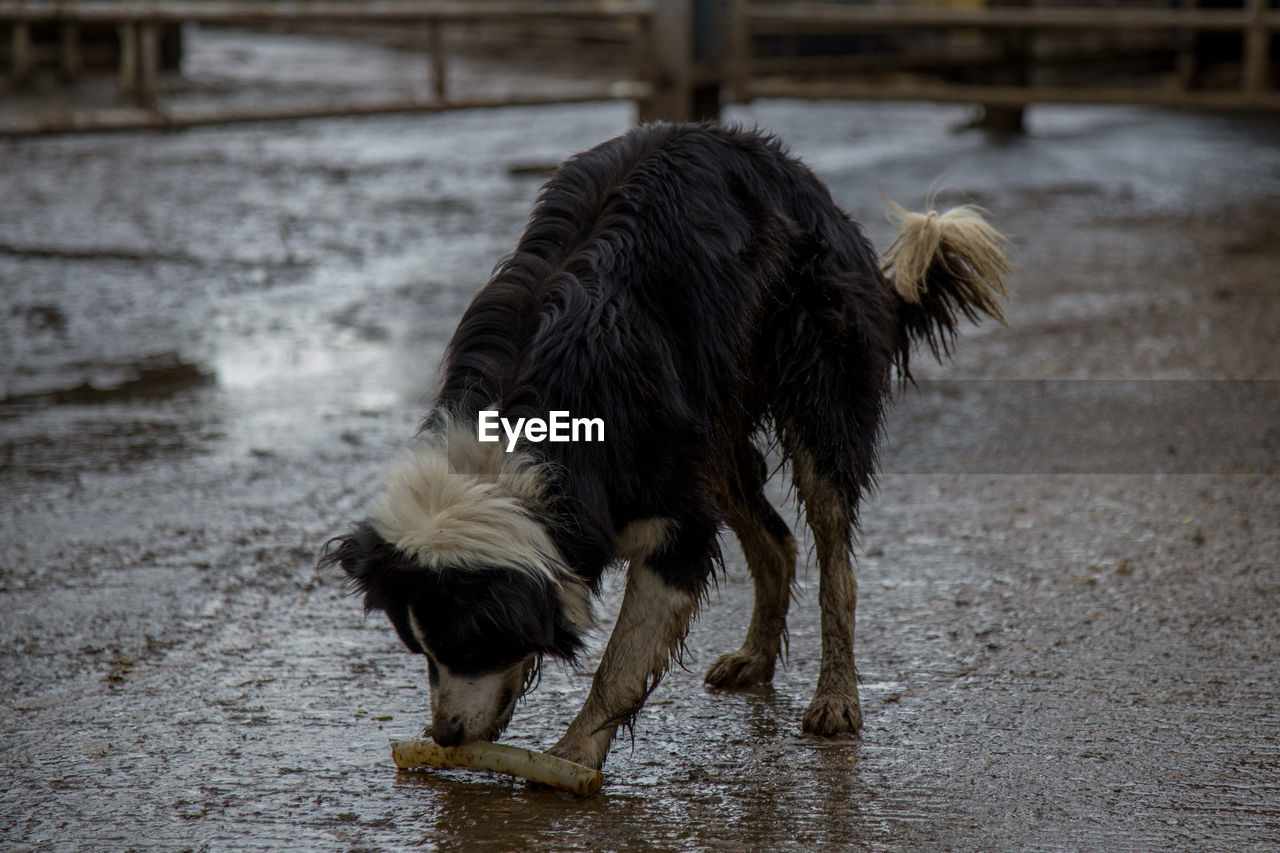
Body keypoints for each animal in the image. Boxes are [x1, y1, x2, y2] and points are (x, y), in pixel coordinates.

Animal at [322, 121, 1008, 768]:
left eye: (471, 644)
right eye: (419, 649)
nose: (444, 736)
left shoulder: (671, 514)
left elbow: (623, 659)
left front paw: (571, 762)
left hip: (814, 366)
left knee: (834, 549)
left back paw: (836, 699)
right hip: (714, 423)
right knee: (776, 540)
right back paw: (754, 658)